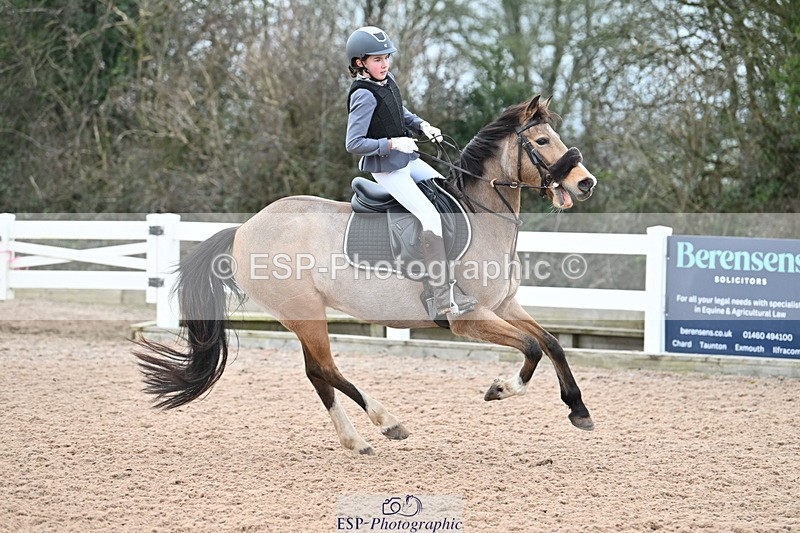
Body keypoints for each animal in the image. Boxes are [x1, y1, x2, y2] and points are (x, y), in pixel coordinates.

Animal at [135, 95, 598, 455]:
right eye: (542, 141)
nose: (586, 183)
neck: (481, 217)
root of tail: (244, 229)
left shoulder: (505, 306)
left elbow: (552, 344)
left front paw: (578, 410)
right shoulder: (469, 319)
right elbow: (531, 349)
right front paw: (502, 388)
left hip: (303, 316)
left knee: (317, 375)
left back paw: (356, 441)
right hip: (305, 313)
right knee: (326, 370)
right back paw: (387, 422)